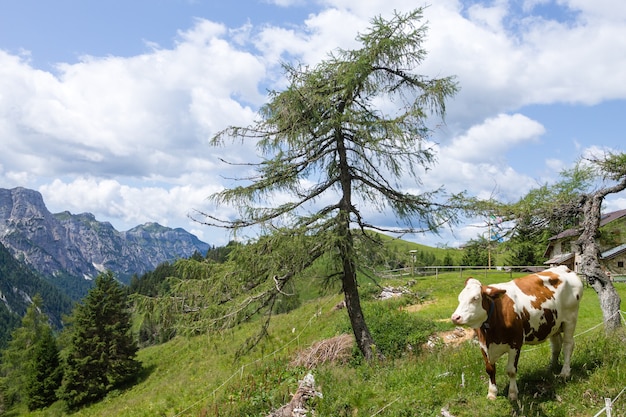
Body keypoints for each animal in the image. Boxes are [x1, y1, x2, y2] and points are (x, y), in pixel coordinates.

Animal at [448, 266, 580, 400]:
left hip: (570, 320)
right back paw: (551, 367)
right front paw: (492, 393)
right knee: (556, 346)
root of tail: (564, 268)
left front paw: (512, 394)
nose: (455, 317)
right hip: (554, 324)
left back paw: (564, 372)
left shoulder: (515, 344)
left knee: (568, 345)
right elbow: (490, 369)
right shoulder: (483, 345)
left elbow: (511, 370)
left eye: (475, 298)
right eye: (460, 298)